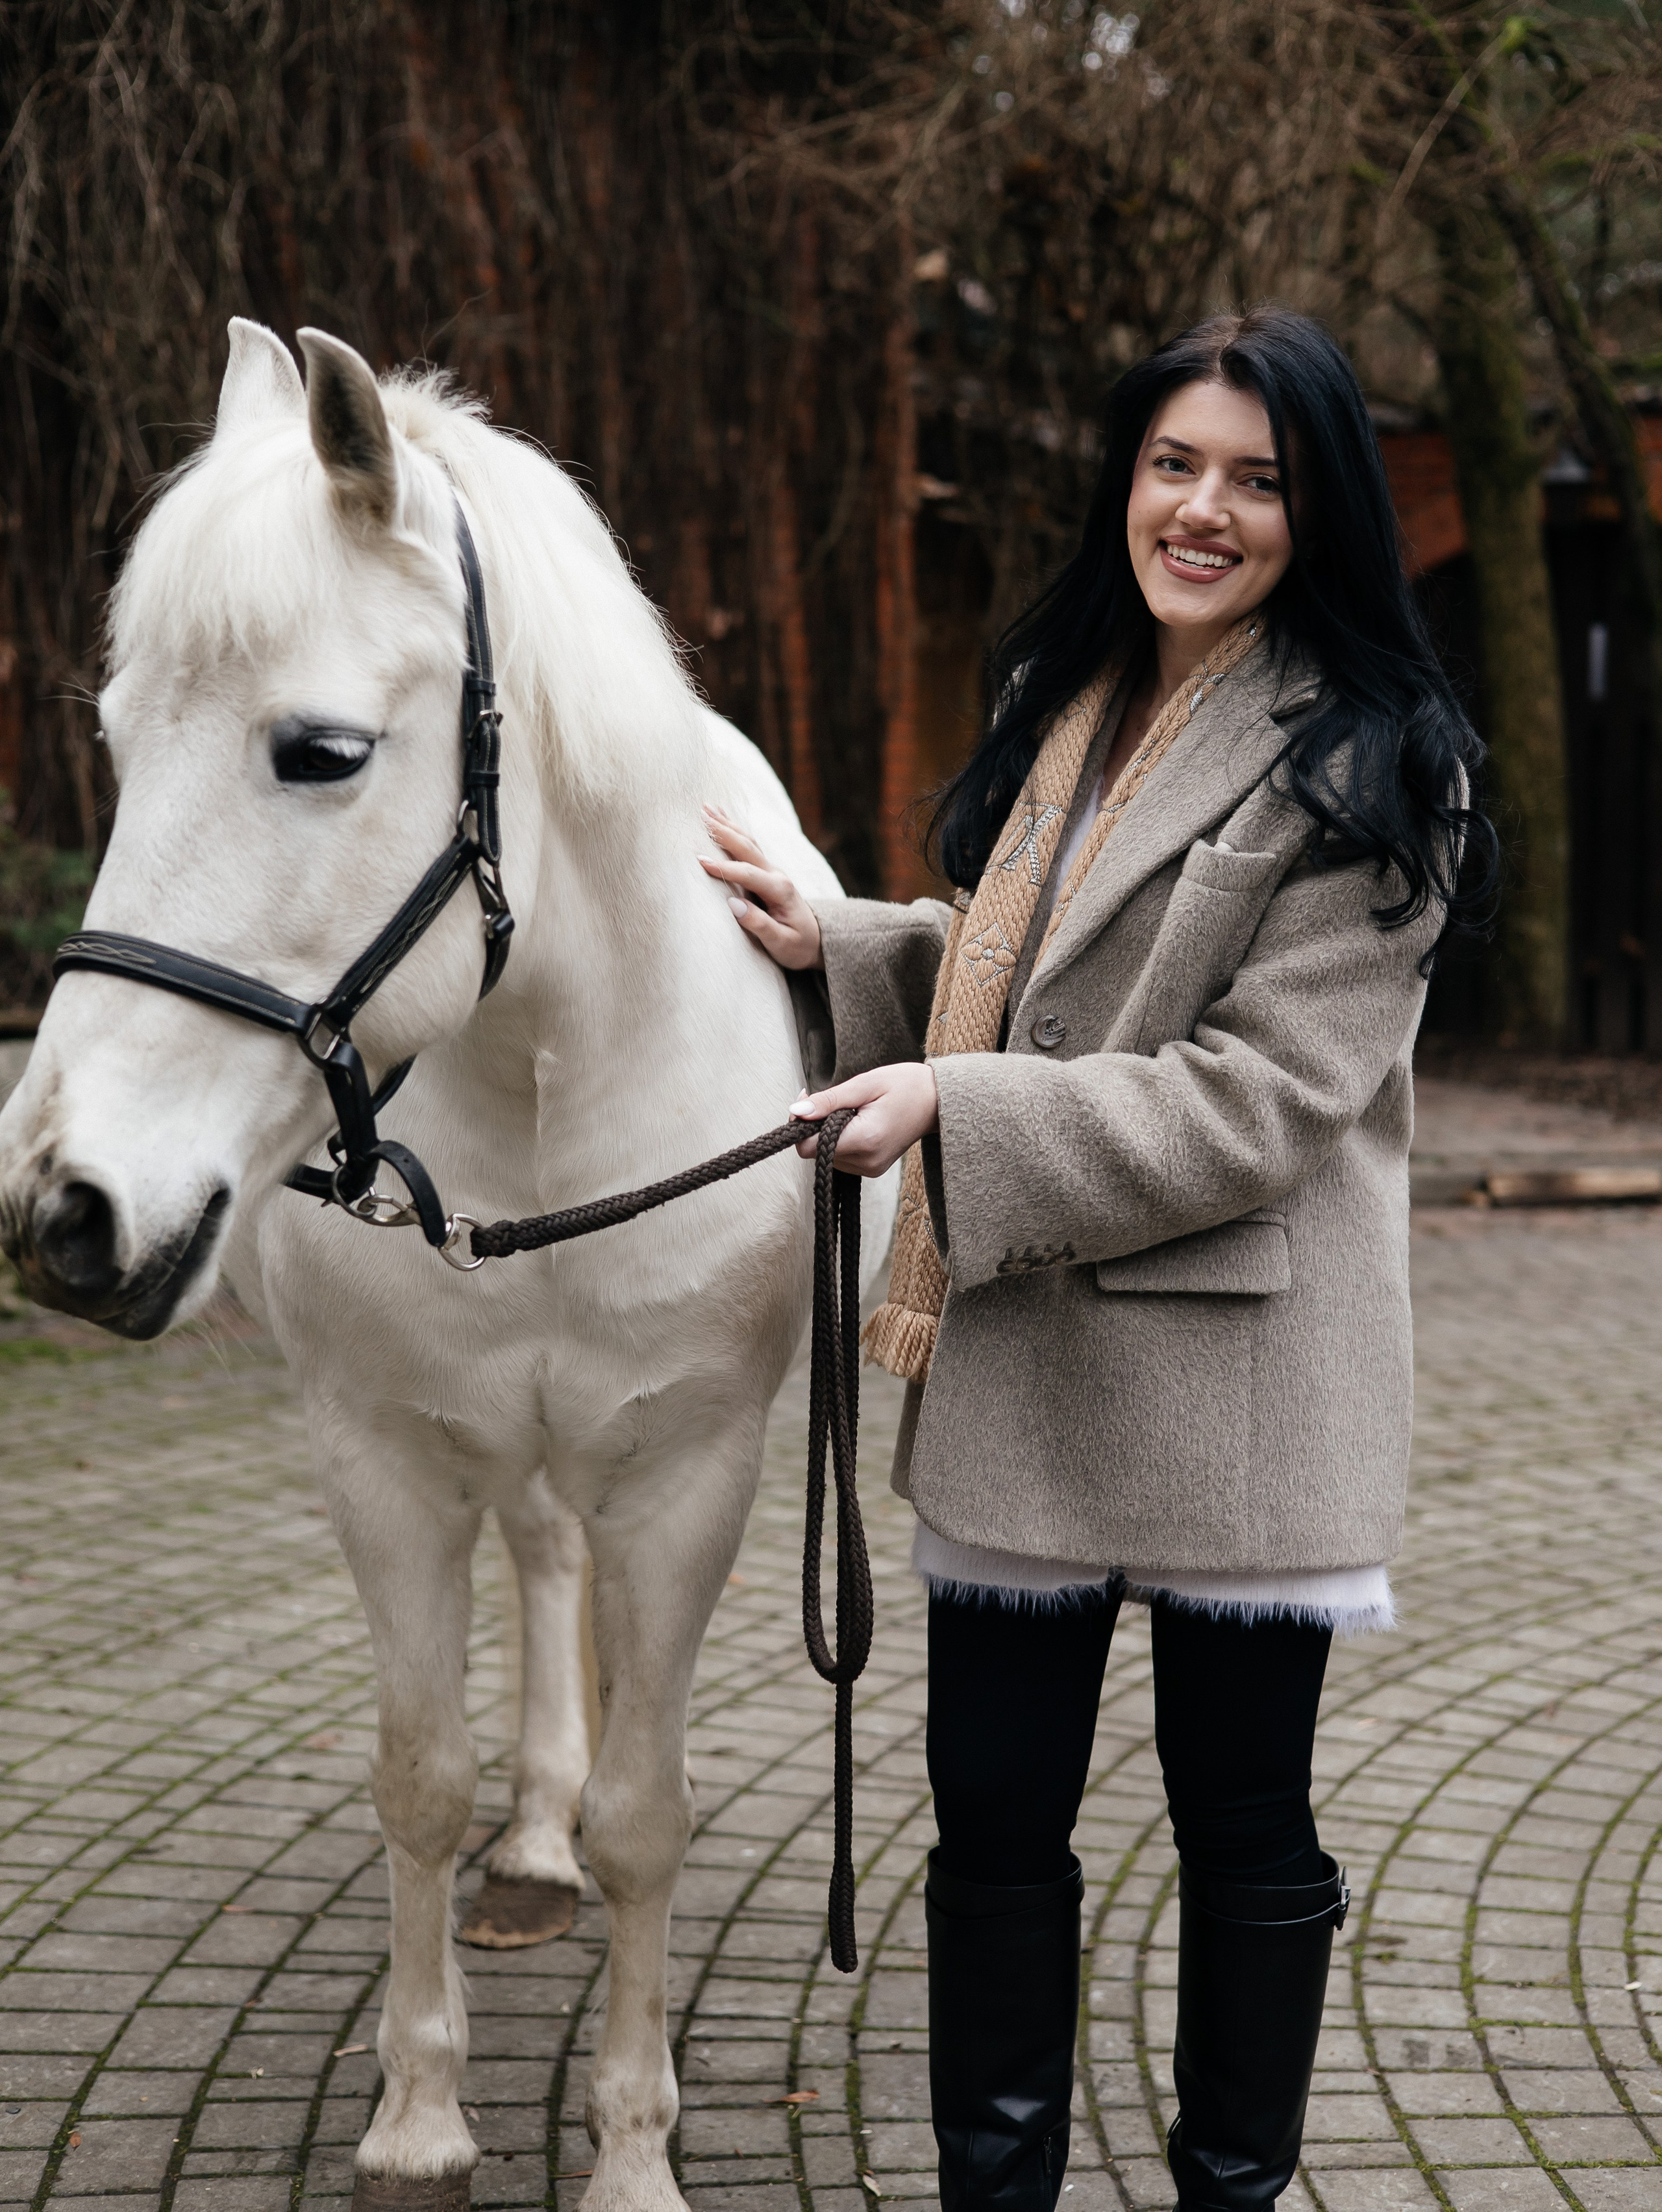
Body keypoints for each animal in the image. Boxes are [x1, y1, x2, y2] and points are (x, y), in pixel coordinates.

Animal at [0, 320, 897, 2212]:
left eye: (320, 750)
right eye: (118, 739)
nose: (65, 1206)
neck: (544, 1068)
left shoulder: (689, 1475)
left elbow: (650, 1811)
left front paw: (630, 2147)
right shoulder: (385, 1459)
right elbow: (417, 1777)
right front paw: (419, 2119)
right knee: (541, 1558)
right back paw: (529, 1848)